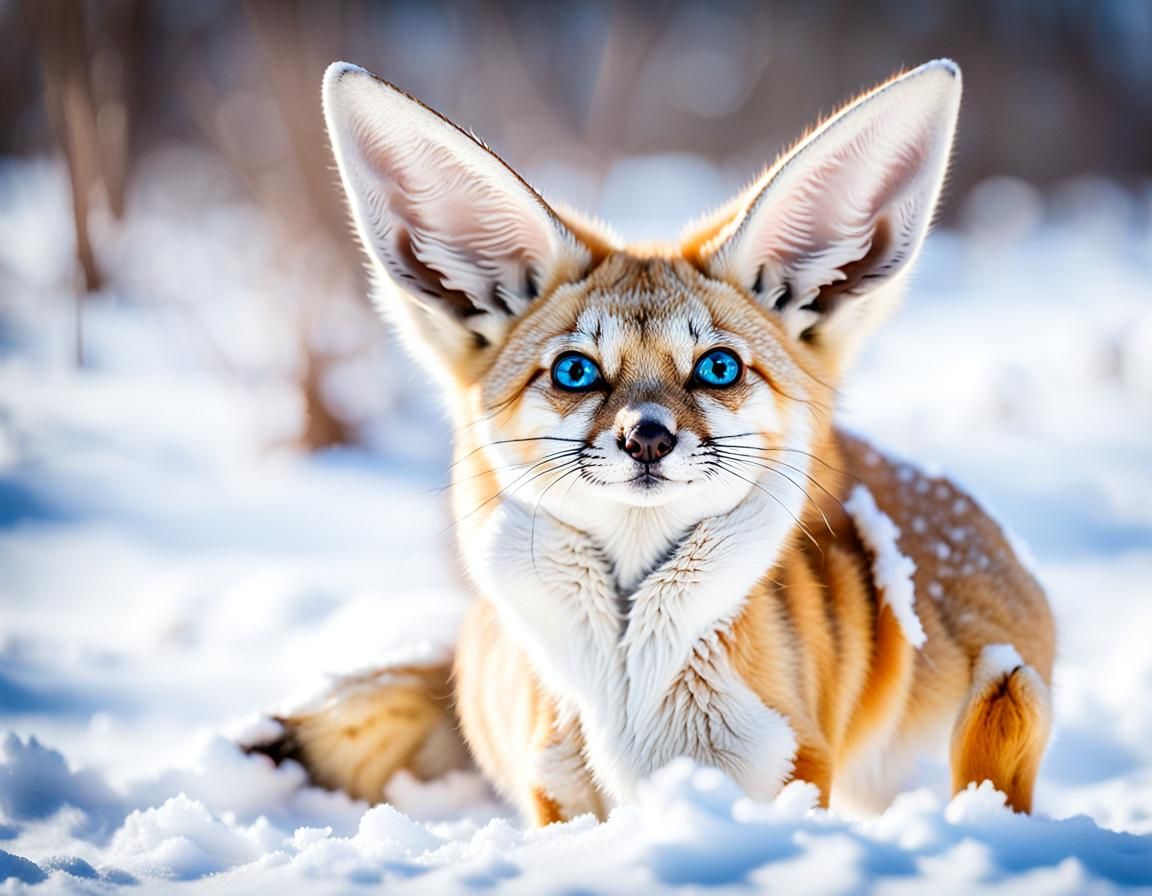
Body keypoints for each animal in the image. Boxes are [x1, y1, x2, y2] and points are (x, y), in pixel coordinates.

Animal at [248, 58, 1054, 824]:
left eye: (717, 367)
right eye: (575, 371)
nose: (646, 438)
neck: (631, 688)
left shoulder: (789, 766)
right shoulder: (558, 792)